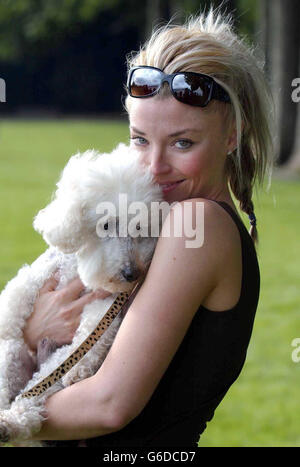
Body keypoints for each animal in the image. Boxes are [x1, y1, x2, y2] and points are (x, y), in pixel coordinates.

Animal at [0, 144, 164, 448]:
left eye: (139, 228)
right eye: (106, 225)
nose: (131, 273)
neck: (83, 269)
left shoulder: (106, 305)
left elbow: (97, 330)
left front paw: (82, 369)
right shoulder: (45, 270)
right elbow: (18, 291)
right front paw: (5, 322)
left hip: (53, 368)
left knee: (31, 400)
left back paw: (11, 422)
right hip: (12, 357)